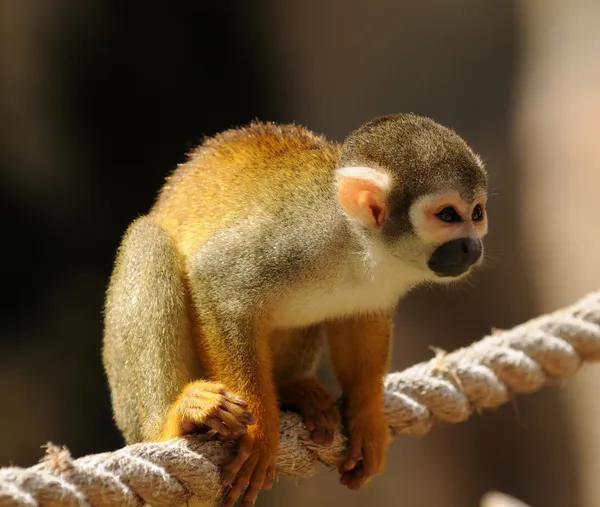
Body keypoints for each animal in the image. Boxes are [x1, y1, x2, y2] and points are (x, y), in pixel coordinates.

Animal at [102, 113, 488, 506]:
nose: (473, 247)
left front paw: (367, 419)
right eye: (447, 215)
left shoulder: (377, 283)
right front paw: (258, 430)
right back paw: (176, 419)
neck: (359, 244)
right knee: (149, 242)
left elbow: (361, 320)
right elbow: (216, 280)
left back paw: (293, 390)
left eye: (477, 213)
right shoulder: (298, 239)